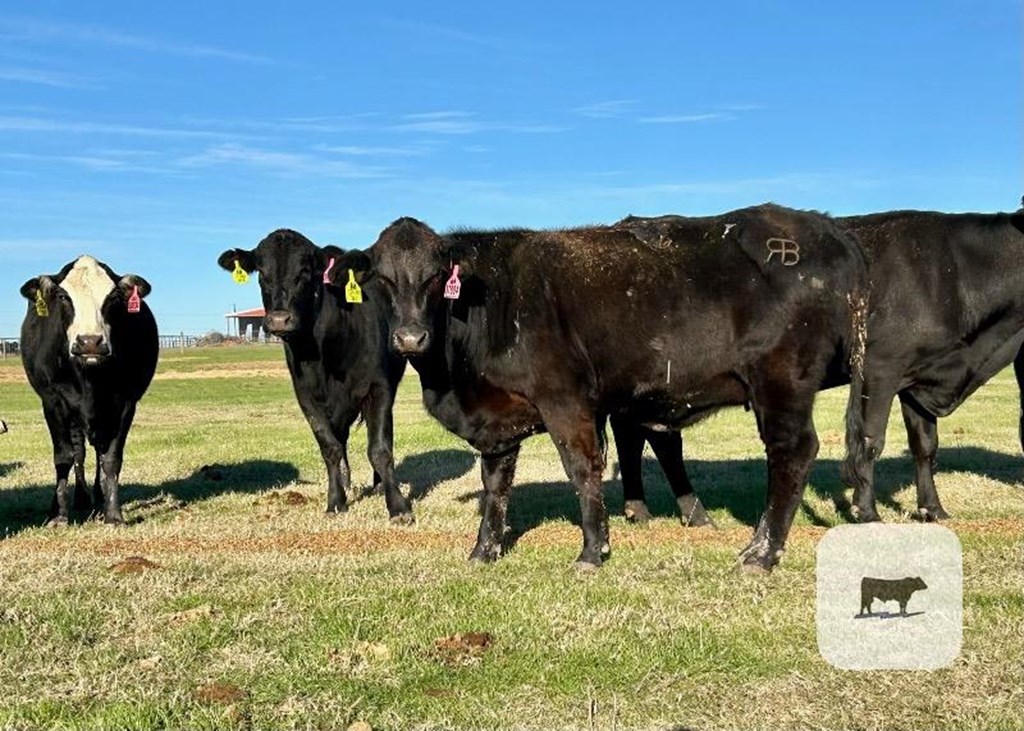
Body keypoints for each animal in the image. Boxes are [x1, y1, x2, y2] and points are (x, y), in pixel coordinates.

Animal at [19, 255, 156, 524]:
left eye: (113, 297)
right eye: (63, 296)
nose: (89, 342)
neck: (89, 377)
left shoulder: (125, 403)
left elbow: (111, 459)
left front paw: (113, 514)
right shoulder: (53, 402)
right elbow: (64, 457)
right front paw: (60, 516)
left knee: (97, 452)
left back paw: (98, 496)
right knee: (78, 453)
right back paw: (78, 500)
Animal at [218, 227, 413, 518]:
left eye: (305, 271)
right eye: (262, 273)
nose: (279, 320)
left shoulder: (379, 388)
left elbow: (379, 448)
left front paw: (397, 506)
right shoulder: (306, 396)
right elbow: (330, 447)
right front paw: (336, 500)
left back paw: (378, 484)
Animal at [364, 204, 868, 569]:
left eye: (434, 277)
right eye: (382, 280)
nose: (409, 338)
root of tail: (822, 225)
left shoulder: (565, 400)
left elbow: (583, 469)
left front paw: (593, 551)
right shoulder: (499, 420)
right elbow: (496, 486)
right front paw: (483, 552)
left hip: (781, 381)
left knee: (793, 452)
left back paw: (761, 553)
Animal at [618, 204, 1024, 520]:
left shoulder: (919, 376)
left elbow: (925, 445)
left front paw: (933, 510)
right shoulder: (880, 367)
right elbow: (870, 440)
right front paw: (866, 511)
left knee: (635, 434)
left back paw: (646, 510)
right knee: (654, 438)